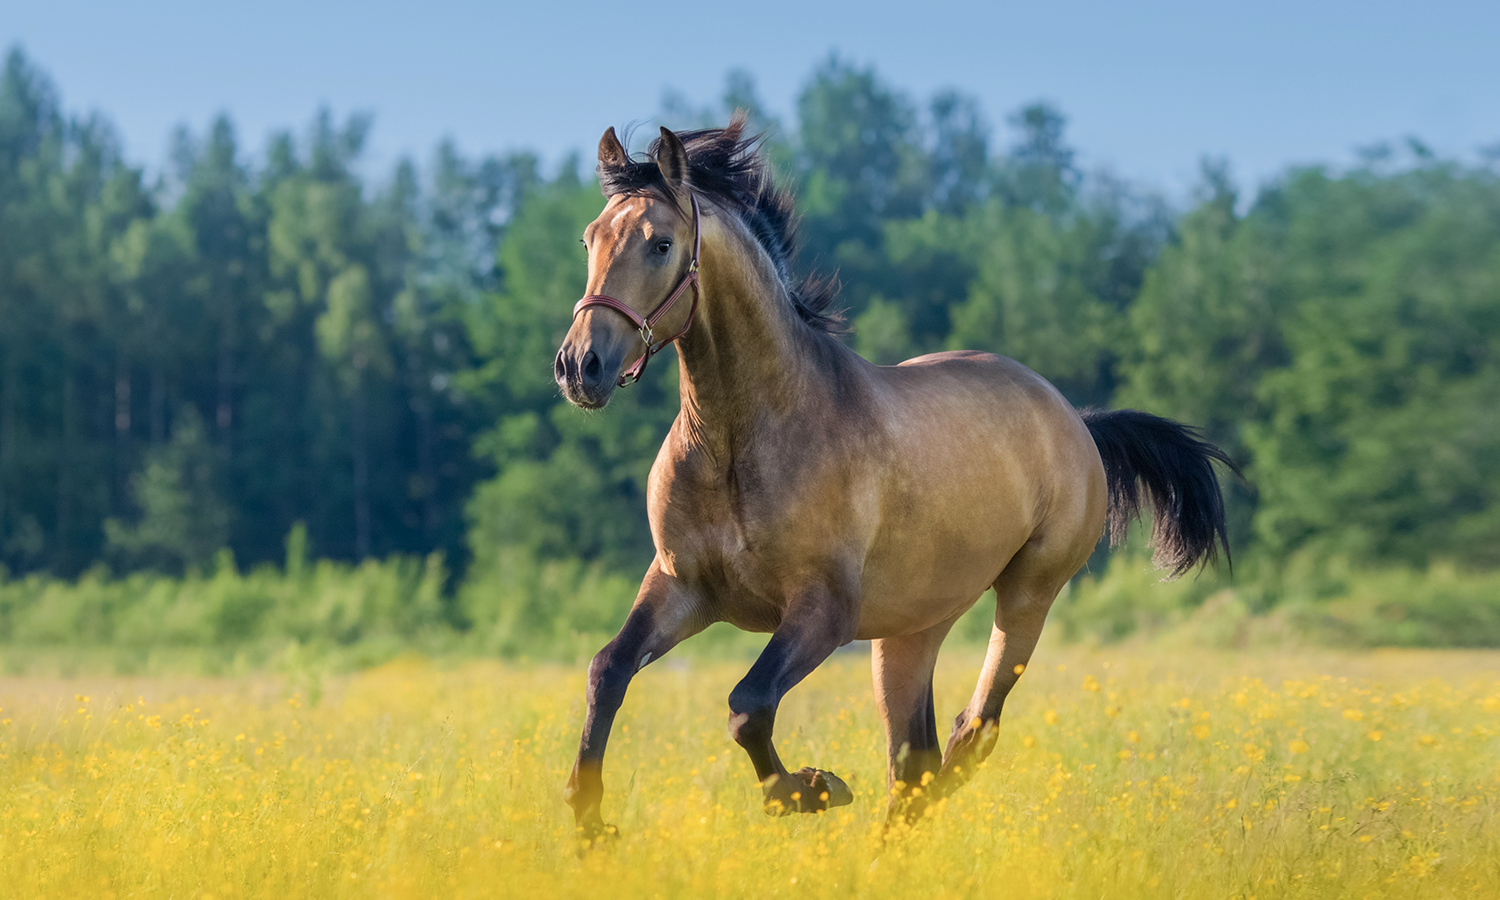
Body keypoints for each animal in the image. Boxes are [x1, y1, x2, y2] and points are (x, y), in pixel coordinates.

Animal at [553, 117, 1237, 841]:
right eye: (591, 238)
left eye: (660, 244)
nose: (579, 366)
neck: (739, 440)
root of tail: (1075, 420)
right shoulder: (681, 586)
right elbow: (607, 670)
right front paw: (590, 822)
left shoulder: (823, 610)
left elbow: (748, 704)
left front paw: (811, 789)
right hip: (911, 629)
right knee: (915, 759)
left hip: (1028, 595)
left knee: (971, 732)